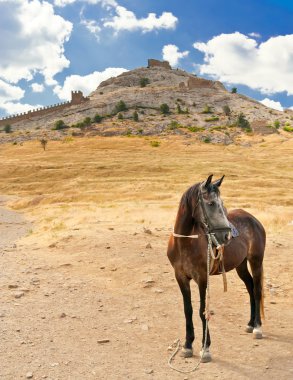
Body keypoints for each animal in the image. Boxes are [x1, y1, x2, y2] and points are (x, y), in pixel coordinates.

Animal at [167, 175, 264, 362]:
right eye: (211, 203)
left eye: (222, 203)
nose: (227, 235)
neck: (185, 242)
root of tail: (253, 219)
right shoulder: (180, 277)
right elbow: (188, 310)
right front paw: (188, 345)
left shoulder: (202, 278)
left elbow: (202, 311)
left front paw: (205, 348)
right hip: (241, 265)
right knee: (249, 287)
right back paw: (250, 324)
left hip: (256, 261)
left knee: (256, 290)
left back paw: (257, 327)